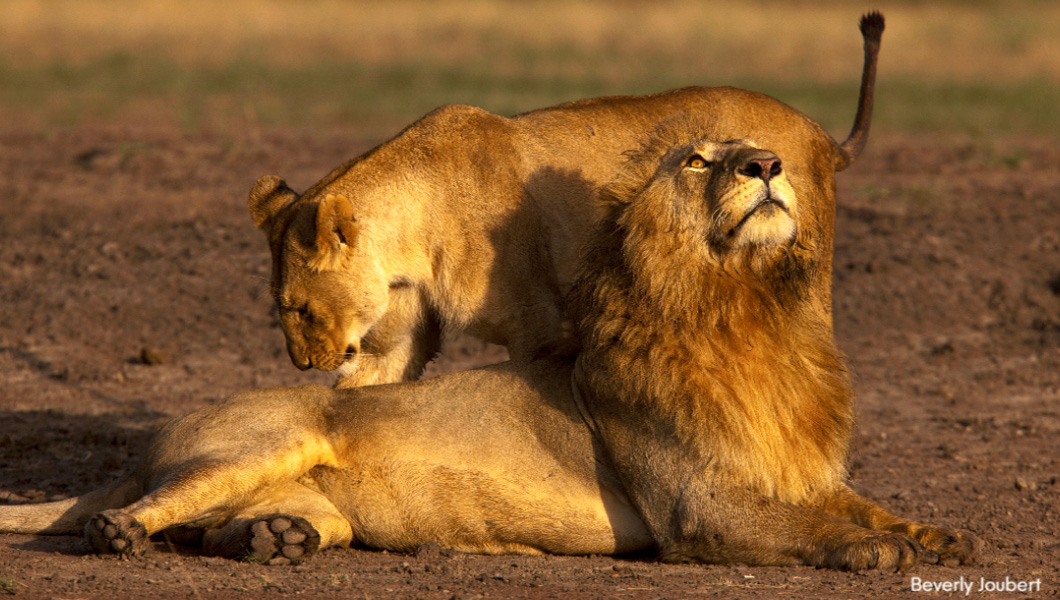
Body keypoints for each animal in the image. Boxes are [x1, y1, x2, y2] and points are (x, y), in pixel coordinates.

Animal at [0, 118, 975, 572]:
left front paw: (939, 537)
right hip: (266, 438)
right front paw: (875, 552)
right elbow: (807, 526)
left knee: (231, 526)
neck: (746, 313)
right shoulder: (697, 506)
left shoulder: (801, 469)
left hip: (317, 506)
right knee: (134, 510)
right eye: (698, 160)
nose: (766, 164)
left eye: (758, 150)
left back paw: (272, 540)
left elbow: (865, 505)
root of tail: (147, 446)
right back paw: (123, 534)